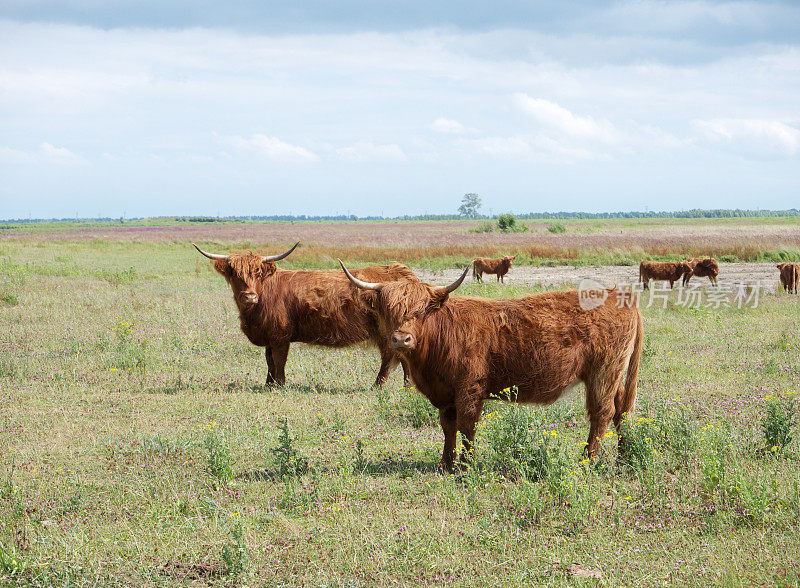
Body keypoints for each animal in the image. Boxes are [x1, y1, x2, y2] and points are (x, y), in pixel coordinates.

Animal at [195, 241, 418, 388]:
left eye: (258, 273)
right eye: (234, 274)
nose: (249, 296)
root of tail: (399, 271)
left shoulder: (280, 337)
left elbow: (279, 360)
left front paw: (280, 385)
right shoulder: (269, 336)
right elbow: (269, 360)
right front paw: (268, 384)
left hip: (388, 334)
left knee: (391, 358)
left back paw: (383, 387)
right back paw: (406, 387)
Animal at [340, 260, 644, 470]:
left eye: (422, 310)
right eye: (388, 310)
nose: (401, 339)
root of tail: (621, 295)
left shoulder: (469, 389)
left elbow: (466, 427)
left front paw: (466, 465)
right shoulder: (446, 395)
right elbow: (448, 426)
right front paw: (446, 463)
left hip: (604, 372)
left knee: (601, 413)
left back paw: (588, 461)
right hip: (614, 374)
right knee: (621, 411)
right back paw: (624, 455)